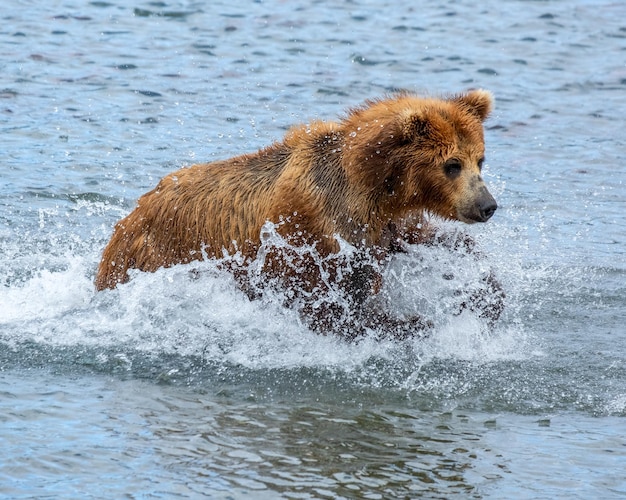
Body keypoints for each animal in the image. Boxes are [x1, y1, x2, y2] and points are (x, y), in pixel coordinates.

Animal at [95, 90, 500, 340]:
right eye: (451, 164)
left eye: (480, 160)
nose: (487, 206)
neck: (370, 186)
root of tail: (132, 214)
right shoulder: (309, 232)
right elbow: (327, 305)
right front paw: (412, 322)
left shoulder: (384, 225)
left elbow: (434, 242)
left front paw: (485, 294)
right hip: (152, 256)